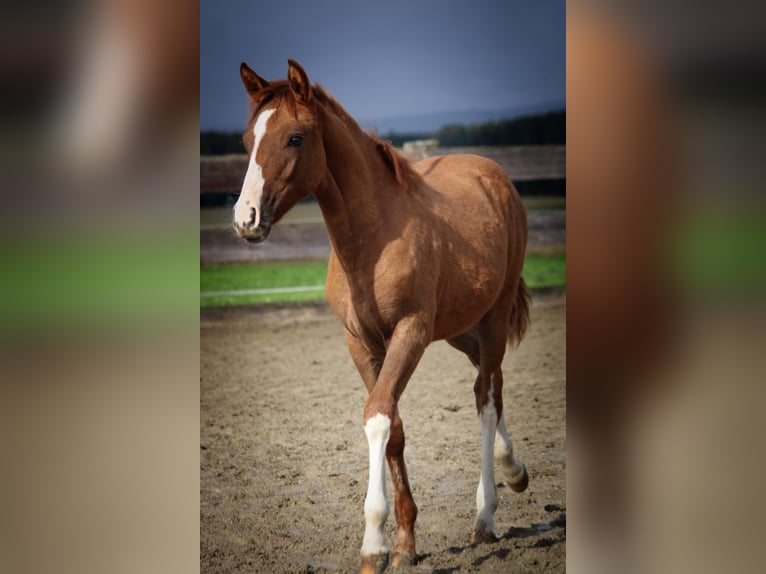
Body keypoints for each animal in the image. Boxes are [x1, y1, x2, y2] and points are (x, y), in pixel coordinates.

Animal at [234, 60, 536, 572]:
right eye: (245, 139)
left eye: (295, 137)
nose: (245, 218)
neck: (371, 239)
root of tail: (494, 174)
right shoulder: (360, 342)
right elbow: (394, 428)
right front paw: (405, 544)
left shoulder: (409, 331)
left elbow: (377, 416)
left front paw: (373, 544)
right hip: (461, 328)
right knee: (491, 380)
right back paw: (514, 472)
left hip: (492, 318)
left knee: (485, 398)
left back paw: (486, 516)